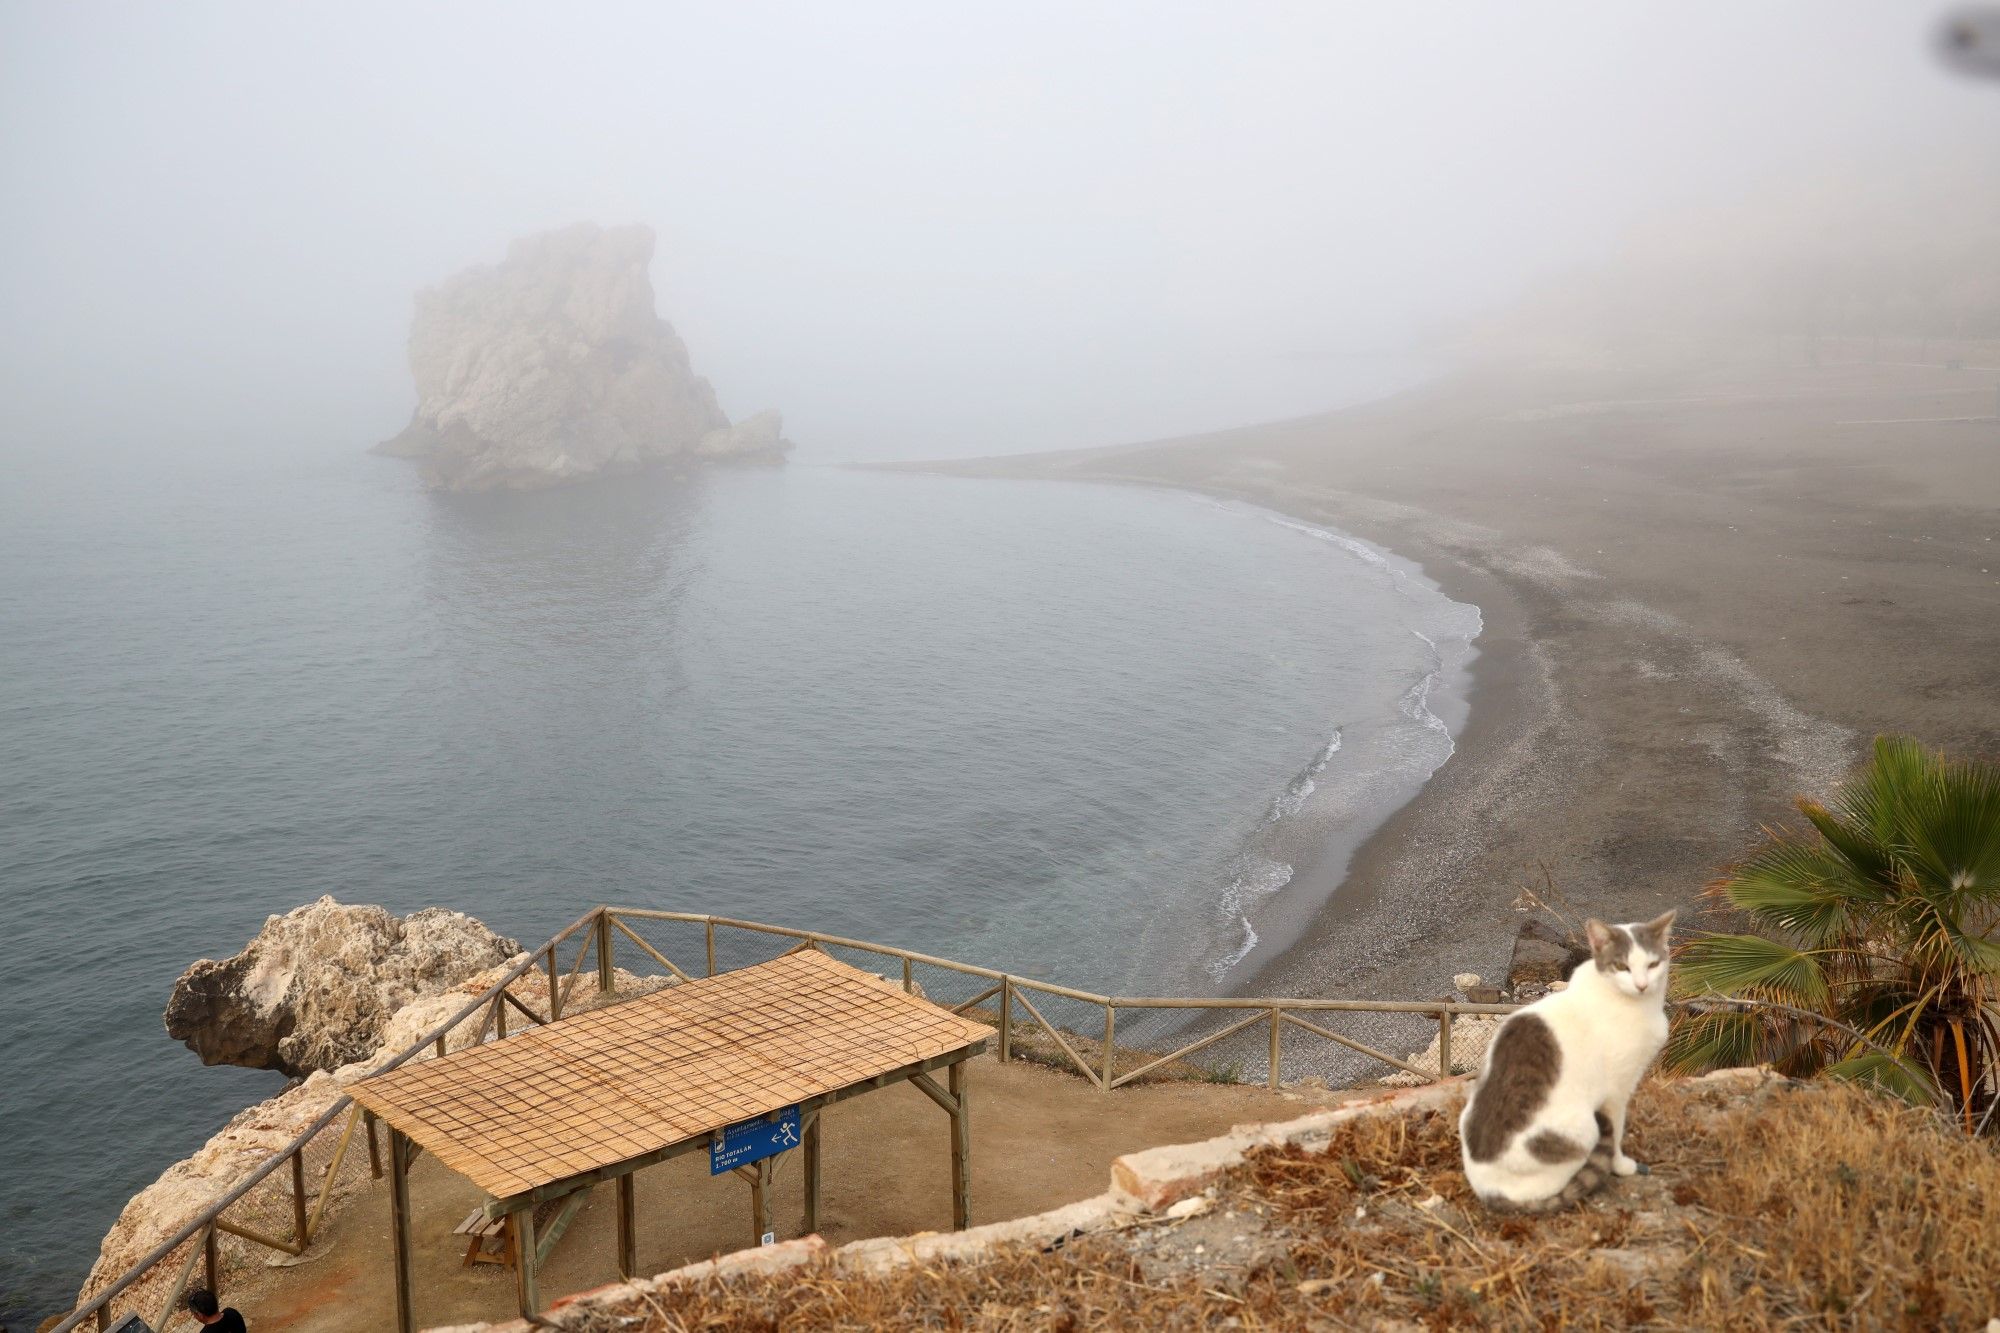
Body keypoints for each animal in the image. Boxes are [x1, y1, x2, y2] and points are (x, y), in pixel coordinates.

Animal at [1464, 908, 1680, 1208]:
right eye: (1621, 966)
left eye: (1652, 964)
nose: (1641, 985)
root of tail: (1487, 1191)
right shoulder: (1616, 1090)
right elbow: (1617, 1132)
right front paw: (1620, 1165)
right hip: (1582, 1129)